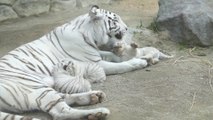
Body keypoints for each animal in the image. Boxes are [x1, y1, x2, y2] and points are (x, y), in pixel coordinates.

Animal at [0, 5, 146, 120]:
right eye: (115, 20)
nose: (126, 28)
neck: (89, 35)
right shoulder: (92, 61)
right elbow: (119, 66)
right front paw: (138, 62)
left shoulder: (96, 55)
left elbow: (113, 55)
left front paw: (138, 57)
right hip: (34, 86)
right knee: (61, 112)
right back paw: (97, 112)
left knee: (64, 97)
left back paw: (94, 96)